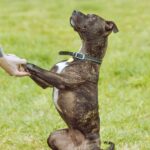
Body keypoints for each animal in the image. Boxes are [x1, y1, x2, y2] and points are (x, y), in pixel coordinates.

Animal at [24, 9, 118, 149]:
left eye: (92, 17)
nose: (75, 10)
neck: (83, 57)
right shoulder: (46, 83)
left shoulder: (61, 81)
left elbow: (37, 68)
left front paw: (23, 63)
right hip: (53, 136)